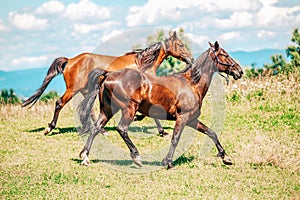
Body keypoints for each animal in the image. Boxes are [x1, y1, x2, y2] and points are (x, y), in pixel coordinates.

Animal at [22, 32, 193, 135]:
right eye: (181, 44)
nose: (190, 59)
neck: (143, 63)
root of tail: (70, 60)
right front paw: (160, 130)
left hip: (86, 90)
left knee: (89, 110)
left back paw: (99, 130)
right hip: (72, 90)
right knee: (59, 103)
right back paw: (49, 128)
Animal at [78, 41, 244, 169]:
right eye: (225, 55)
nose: (240, 71)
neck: (192, 84)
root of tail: (108, 75)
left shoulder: (192, 119)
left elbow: (211, 133)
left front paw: (226, 158)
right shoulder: (182, 118)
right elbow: (175, 138)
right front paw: (168, 162)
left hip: (107, 111)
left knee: (95, 128)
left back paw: (85, 156)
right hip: (129, 109)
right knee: (122, 129)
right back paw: (136, 157)